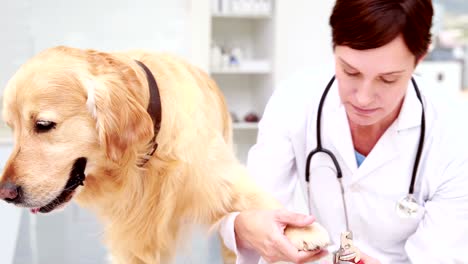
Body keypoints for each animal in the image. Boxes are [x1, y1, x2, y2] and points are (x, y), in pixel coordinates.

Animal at [0, 46, 330, 262]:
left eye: (43, 125)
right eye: (11, 128)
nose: (6, 193)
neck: (145, 155)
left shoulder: (217, 176)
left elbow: (258, 197)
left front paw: (305, 229)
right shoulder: (131, 238)